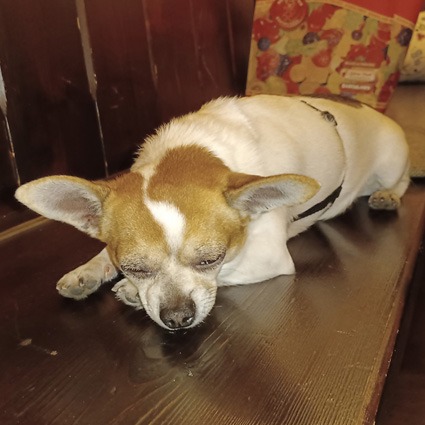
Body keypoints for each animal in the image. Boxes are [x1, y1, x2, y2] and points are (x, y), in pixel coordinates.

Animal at [15, 94, 410, 330]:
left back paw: (388, 196)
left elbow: (224, 277)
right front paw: (89, 271)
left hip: (392, 162)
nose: (177, 318)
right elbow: (104, 254)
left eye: (210, 259)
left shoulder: (267, 257)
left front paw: (128, 291)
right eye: (136, 267)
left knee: (402, 180)